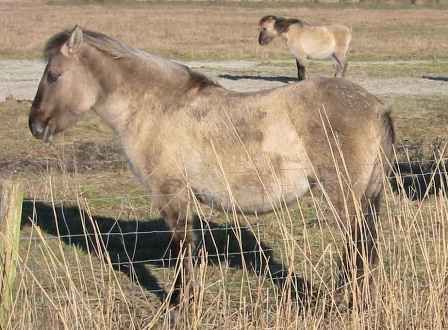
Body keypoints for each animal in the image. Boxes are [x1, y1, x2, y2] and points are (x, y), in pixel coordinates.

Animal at [28, 27, 392, 310]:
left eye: (54, 75)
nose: (35, 126)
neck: (156, 108)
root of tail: (377, 106)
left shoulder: (171, 196)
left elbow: (182, 250)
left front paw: (181, 302)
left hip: (344, 198)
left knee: (357, 248)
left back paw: (345, 303)